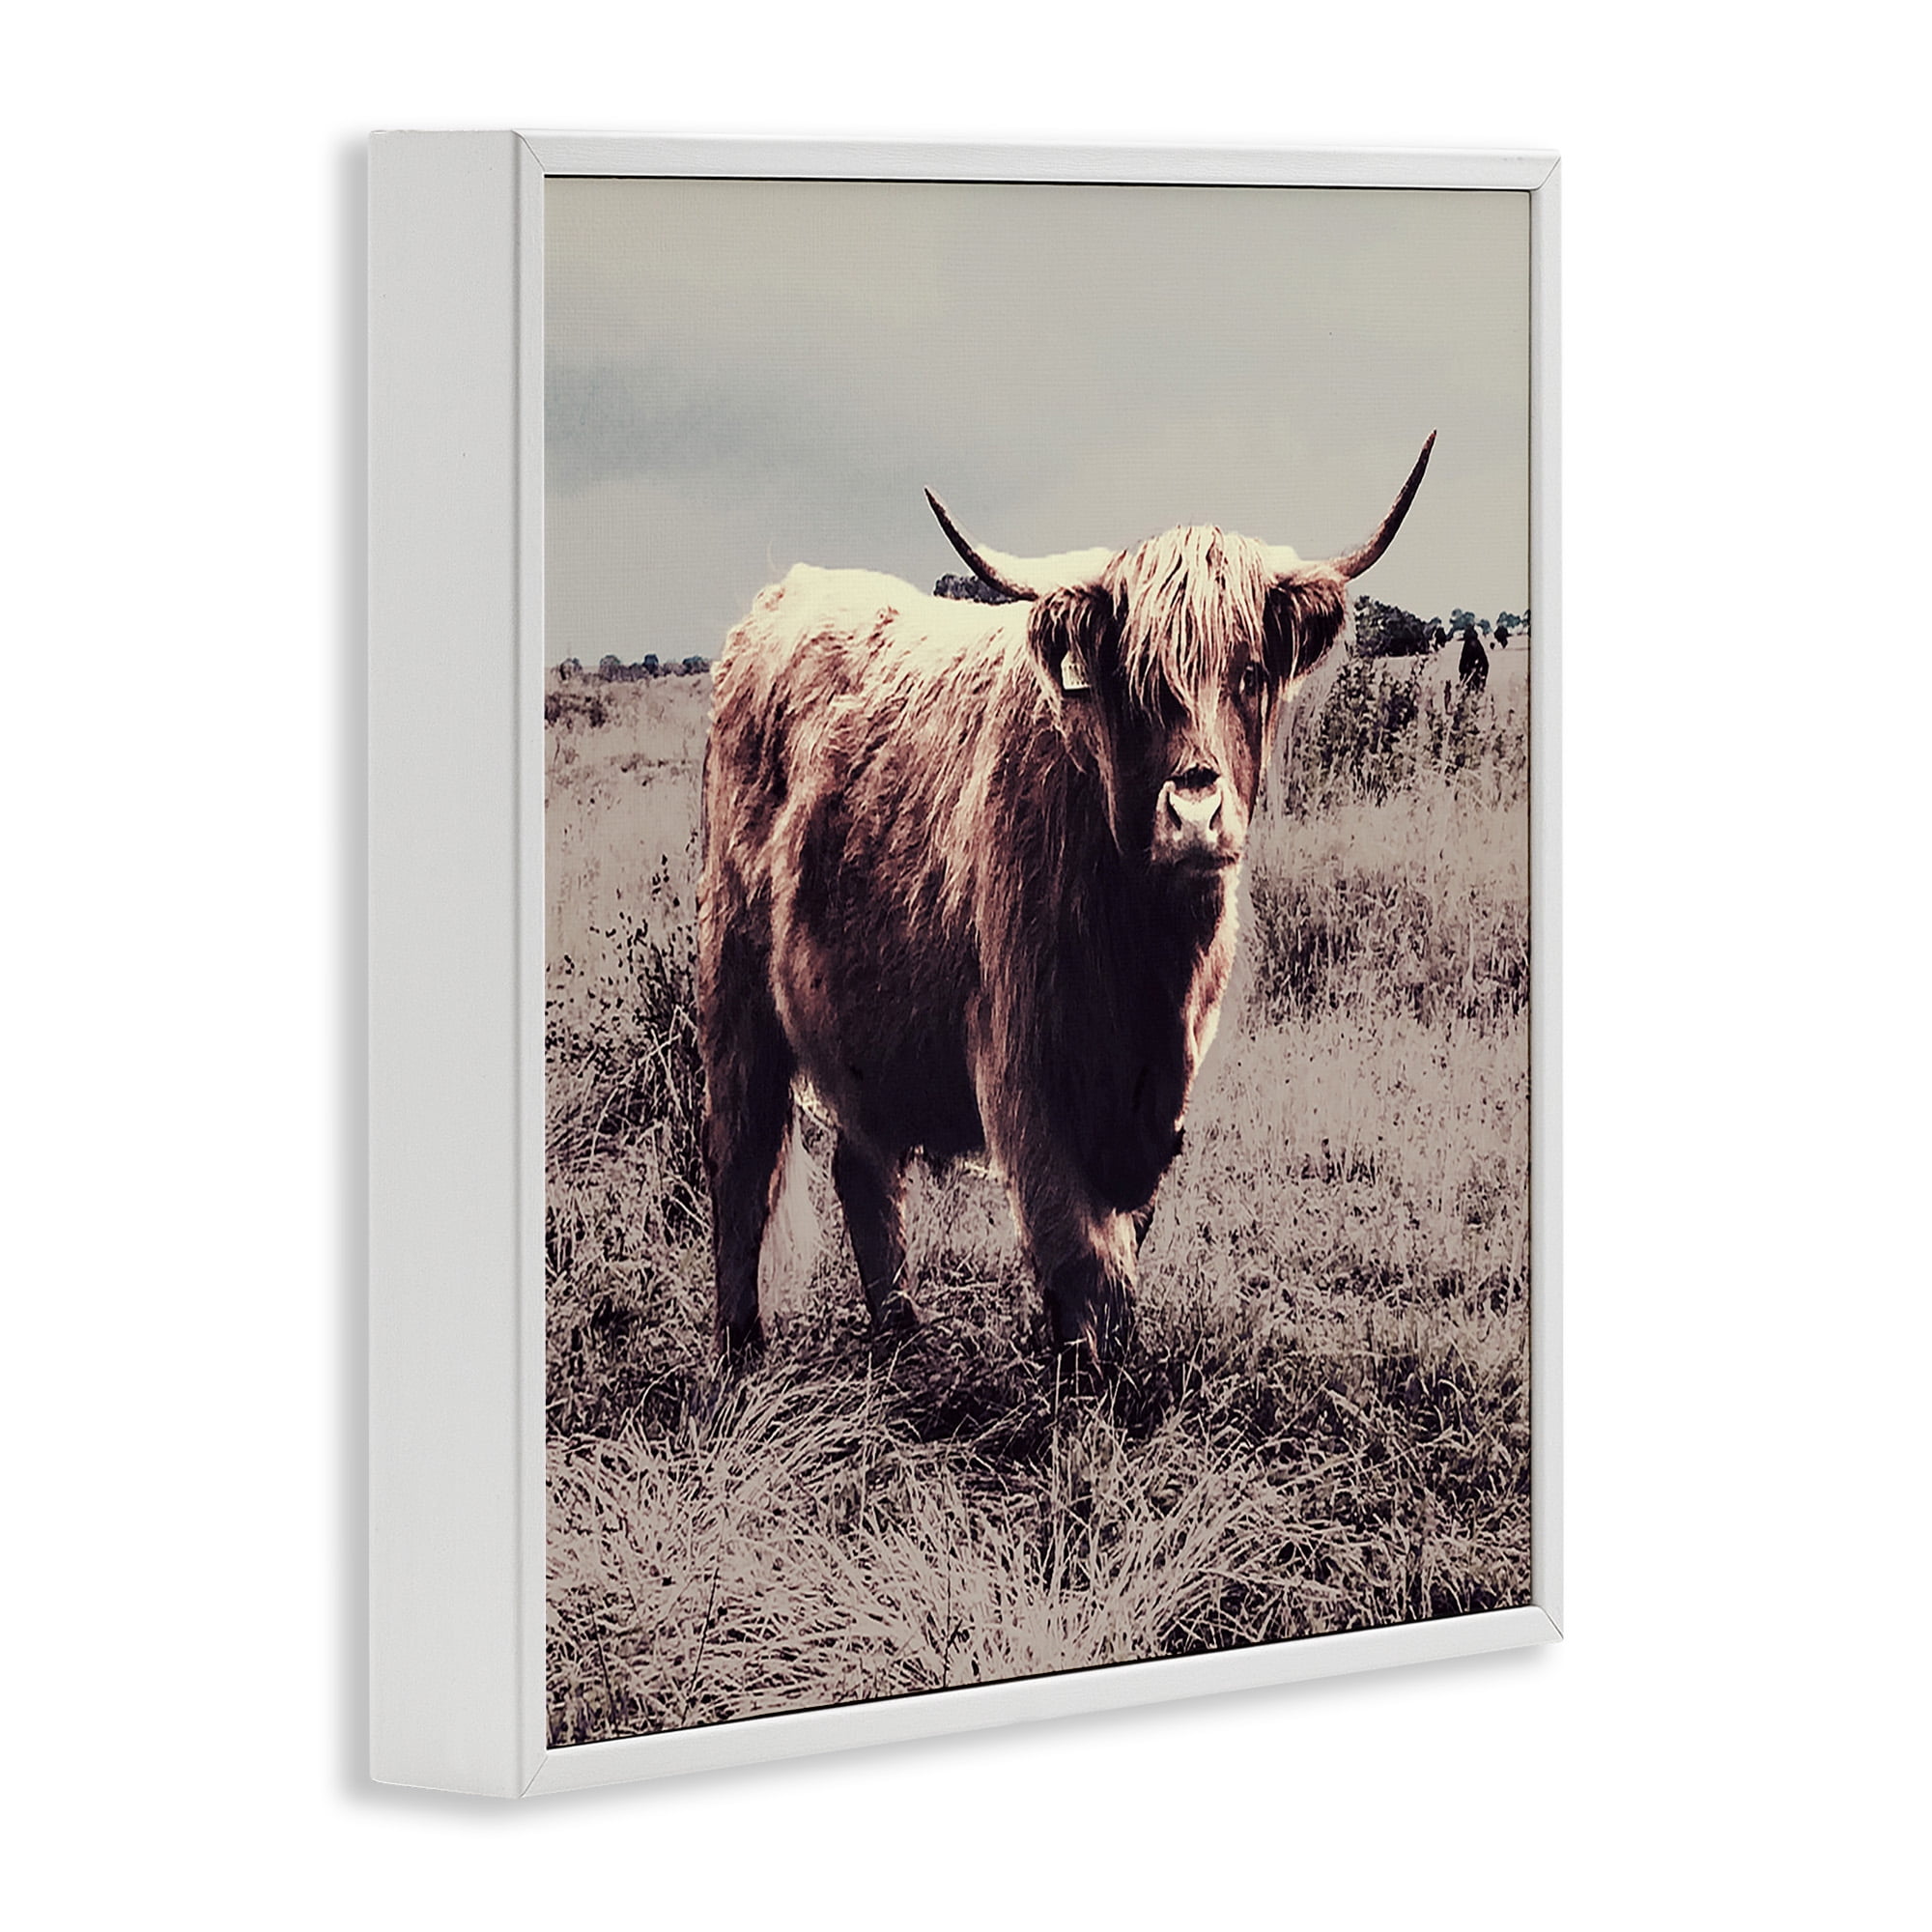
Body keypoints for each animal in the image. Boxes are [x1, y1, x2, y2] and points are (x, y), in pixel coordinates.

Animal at [697, 435, 1435, 1367]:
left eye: (1250, 672)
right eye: (1137, 683)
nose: (1195, 813)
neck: (1147, 956)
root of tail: (783, 595)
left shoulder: (1158, 1096)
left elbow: (1118, 1243)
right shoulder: (1024, 1068)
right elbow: (1084, 1259)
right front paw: (1088, 1382)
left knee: (860, 1167)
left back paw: (902, 1341)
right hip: (735, 986)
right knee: (742, 1159)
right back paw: (740, 1350)